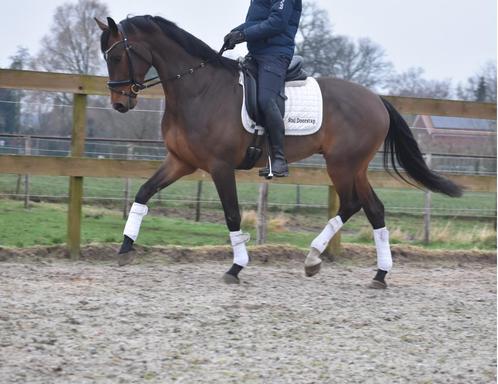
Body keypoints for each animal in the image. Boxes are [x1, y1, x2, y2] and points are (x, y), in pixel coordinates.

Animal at [95, 16, 462, 290]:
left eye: (116, 56)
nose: (120, 104)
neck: (198, 89)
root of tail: (376, 99)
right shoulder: (181, 162)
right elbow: (143, 193)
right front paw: (125, 248)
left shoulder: (219, 166)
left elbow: (232, 214)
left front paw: (236, 267)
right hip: (355, 167)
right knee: (374, 209)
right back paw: (380, 274)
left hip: (342, 165)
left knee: (351, 204)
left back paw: (313, 258)